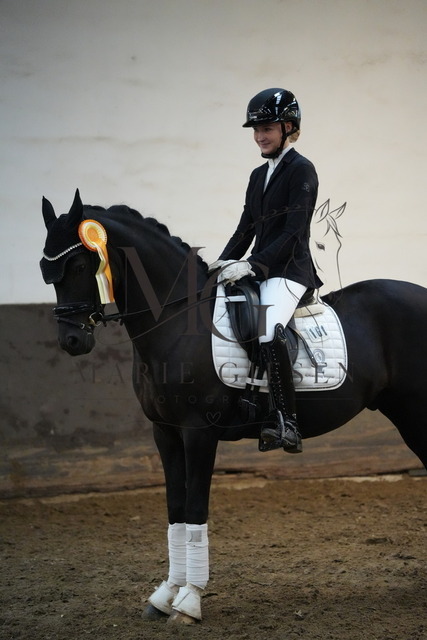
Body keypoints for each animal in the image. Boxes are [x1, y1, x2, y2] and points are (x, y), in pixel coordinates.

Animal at [40, 190, 427, 624]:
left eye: (77, 265)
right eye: (45, 269)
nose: (72, 341)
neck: (178, 319)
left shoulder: (198, 433)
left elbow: (195, 510)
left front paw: (189, 601)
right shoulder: (164, 432)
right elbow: (175, 511)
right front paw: (165, 595)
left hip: (417, 410)